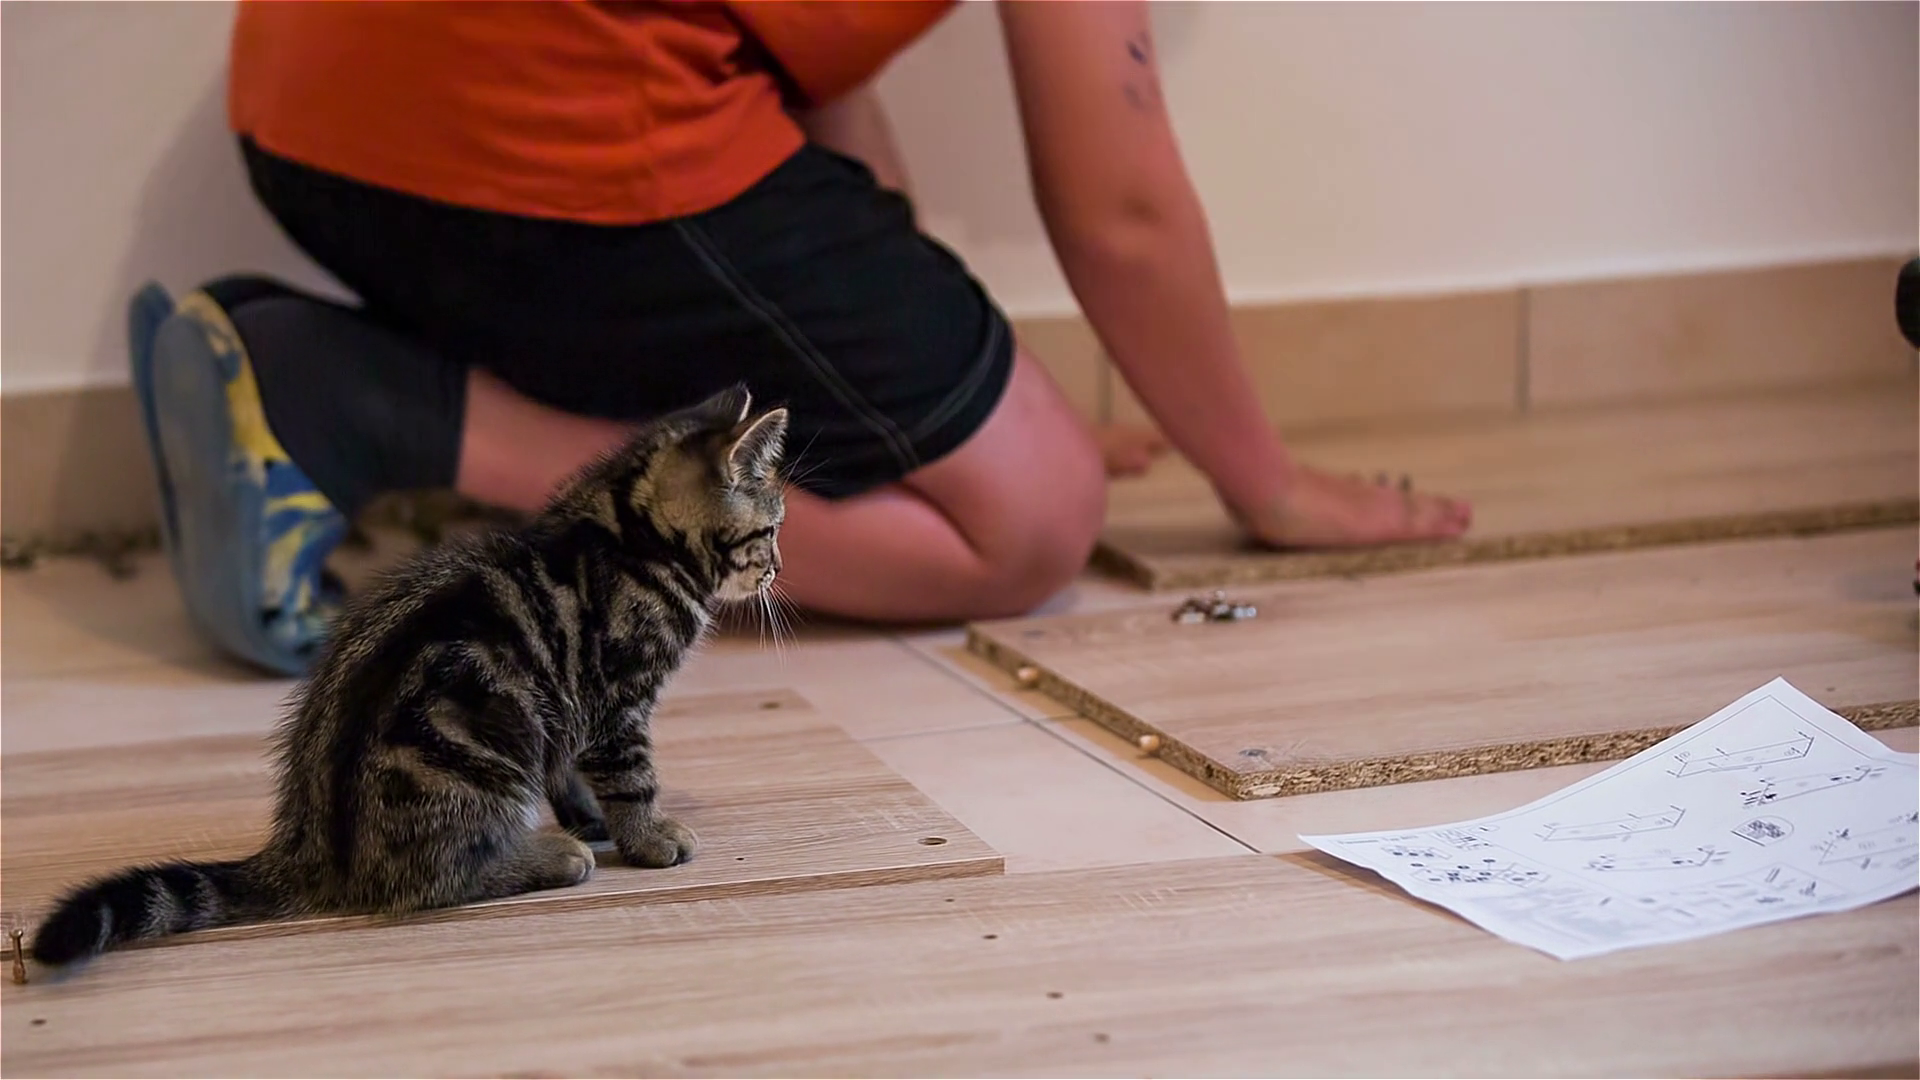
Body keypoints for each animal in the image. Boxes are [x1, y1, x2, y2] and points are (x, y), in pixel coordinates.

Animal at [30, 385, 788, 968]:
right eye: (772, 529)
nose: (777, 568)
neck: (630, 531)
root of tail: (310, 849)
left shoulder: (573, 710)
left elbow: (568, 768)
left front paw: (591, 815)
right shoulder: (616, 701)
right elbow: (633, 777)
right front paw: (648, 836)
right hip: (482, 753)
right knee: (434, 879)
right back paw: (547, 857)